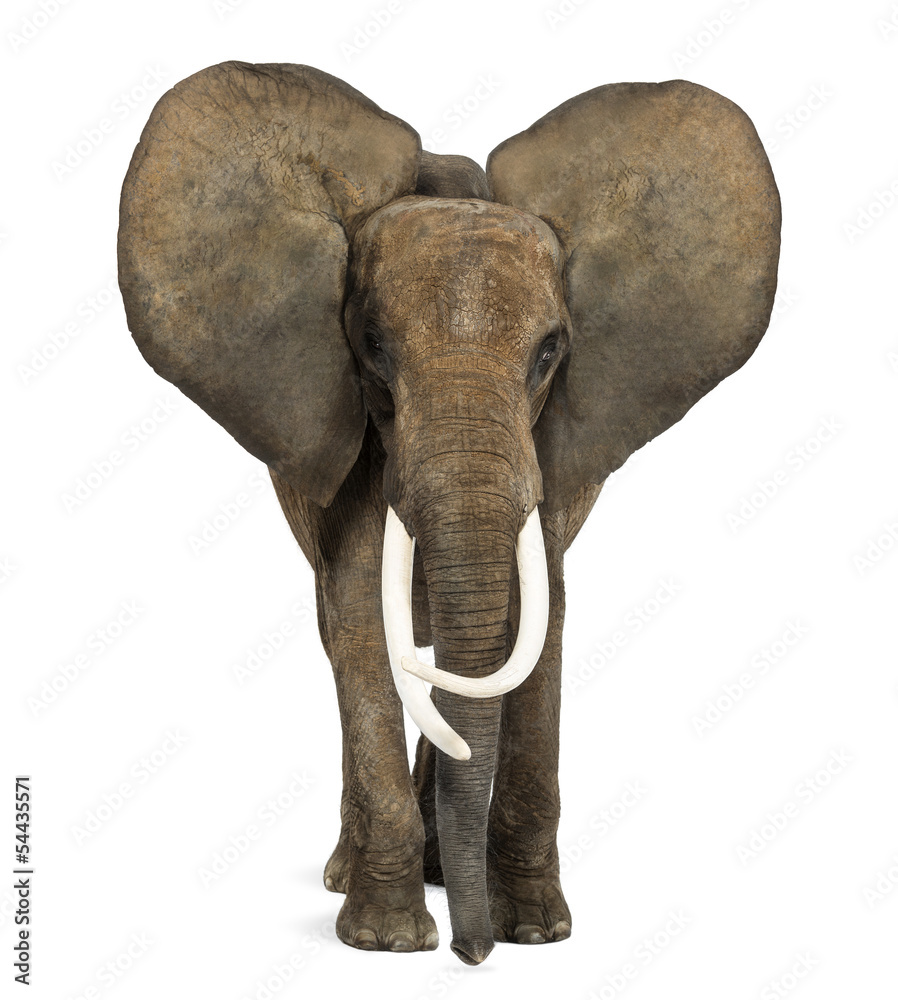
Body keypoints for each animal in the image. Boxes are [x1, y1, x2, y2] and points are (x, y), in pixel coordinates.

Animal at [117, 61, 780, 965]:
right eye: (370, 346)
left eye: (550, 351)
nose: (472, 953)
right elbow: (360, 619)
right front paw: (389, 941)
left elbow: (542, 625)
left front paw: (536, 931)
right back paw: (352, 876)